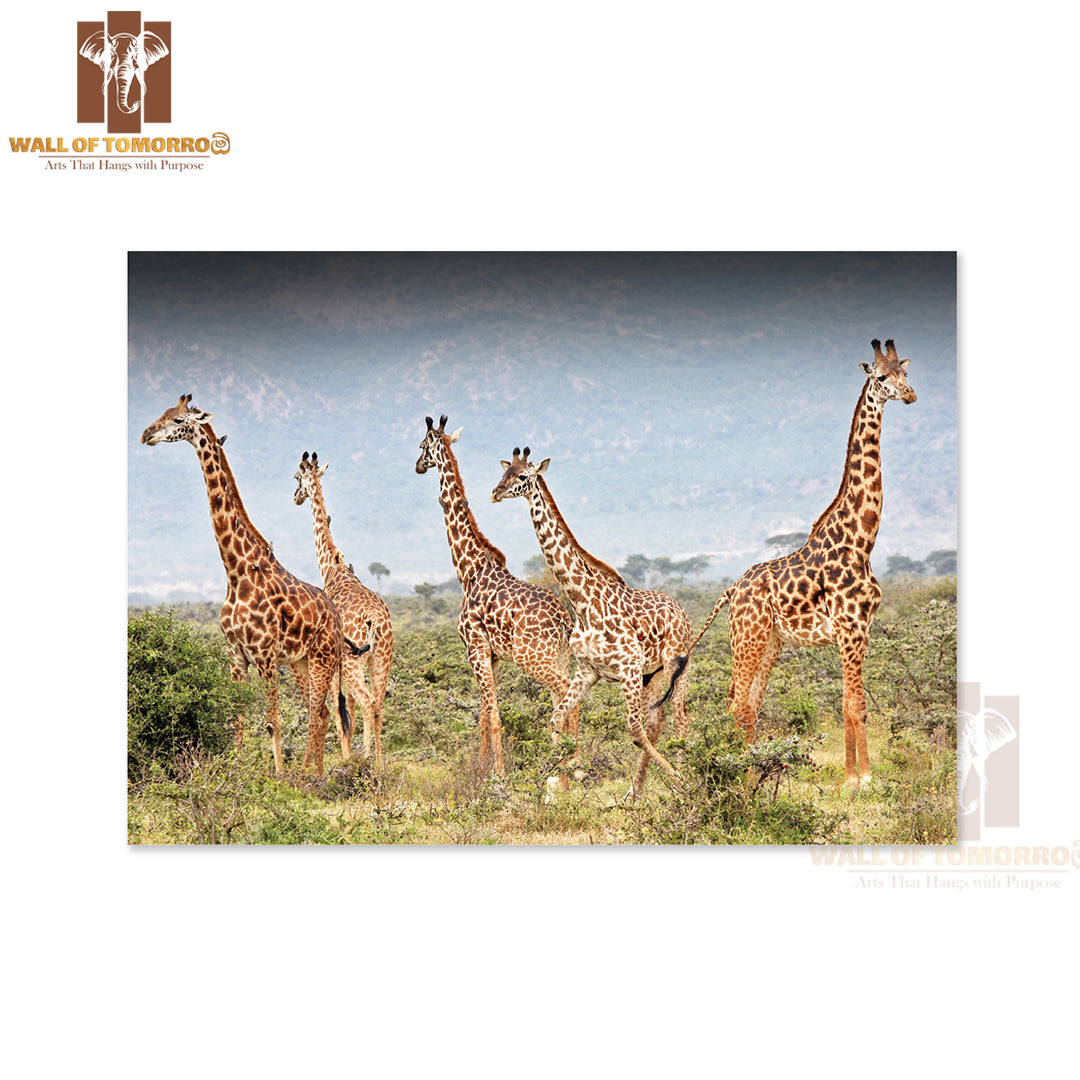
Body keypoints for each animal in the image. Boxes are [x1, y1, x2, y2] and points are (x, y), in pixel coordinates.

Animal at [141, 395, 357, 776]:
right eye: (162, 413)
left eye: (178, 419)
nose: (146, 434)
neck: (236, 570)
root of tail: (335, 615)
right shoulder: (235, 654)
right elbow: (236, 719)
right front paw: (237, 771)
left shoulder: (265, 655)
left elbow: (272, 720)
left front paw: (279, 776)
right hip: (302, 661)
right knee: (320, 713)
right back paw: (310, 773)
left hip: (323, 658)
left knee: (321, 713)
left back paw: (311, 775)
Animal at [294, 450, 395, 765]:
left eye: (296, 477)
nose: (295, 497)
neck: (332, 569)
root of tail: (374, 620)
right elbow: (346, 708)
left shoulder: (333, 659)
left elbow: (340, 714)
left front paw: (347, 758)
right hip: (381, 659)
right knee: (378, 704)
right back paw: (379, 763)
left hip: (354, 662)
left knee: (366, 701)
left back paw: (367, 760)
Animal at [414, 415, 579, 776]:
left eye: (421, 446)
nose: (417, 465)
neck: (469, 569)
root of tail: (563, 619)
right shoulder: (492, 655)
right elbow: (482, 715)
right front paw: (481, 764)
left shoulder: (475, 647)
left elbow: (492, 715)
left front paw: (497, 773)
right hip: (559, 654)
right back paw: (569, 761)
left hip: (532, 656)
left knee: (565, 692)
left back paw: (569, 762)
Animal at [491, 446, 693, 800]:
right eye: (504, 472)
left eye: (523, 476)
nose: (495, 493)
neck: (583, 603)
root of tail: (681, 611)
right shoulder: (588, 671)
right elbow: (556, 718)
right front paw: (555, 788)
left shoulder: (627, 668)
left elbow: (634, 731)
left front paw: (679, 781)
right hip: (651, 673)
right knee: (659, 720)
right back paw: (633, 793)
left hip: (674, 665)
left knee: (679, 720)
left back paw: (679, 784)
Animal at [691, 339, 917, 784]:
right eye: (882, 377)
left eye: (906, 372)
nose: (910, 395)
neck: (862, 541)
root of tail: (732, 590)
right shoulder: (849, 628)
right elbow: (854, 705)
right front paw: (861, 779)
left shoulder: (862, 630)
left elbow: (849, 703)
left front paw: (853, 776)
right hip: (748, 637)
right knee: (736, 705)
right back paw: (736, 774)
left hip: (771, 643)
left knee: (750, 706)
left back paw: (748, 773)